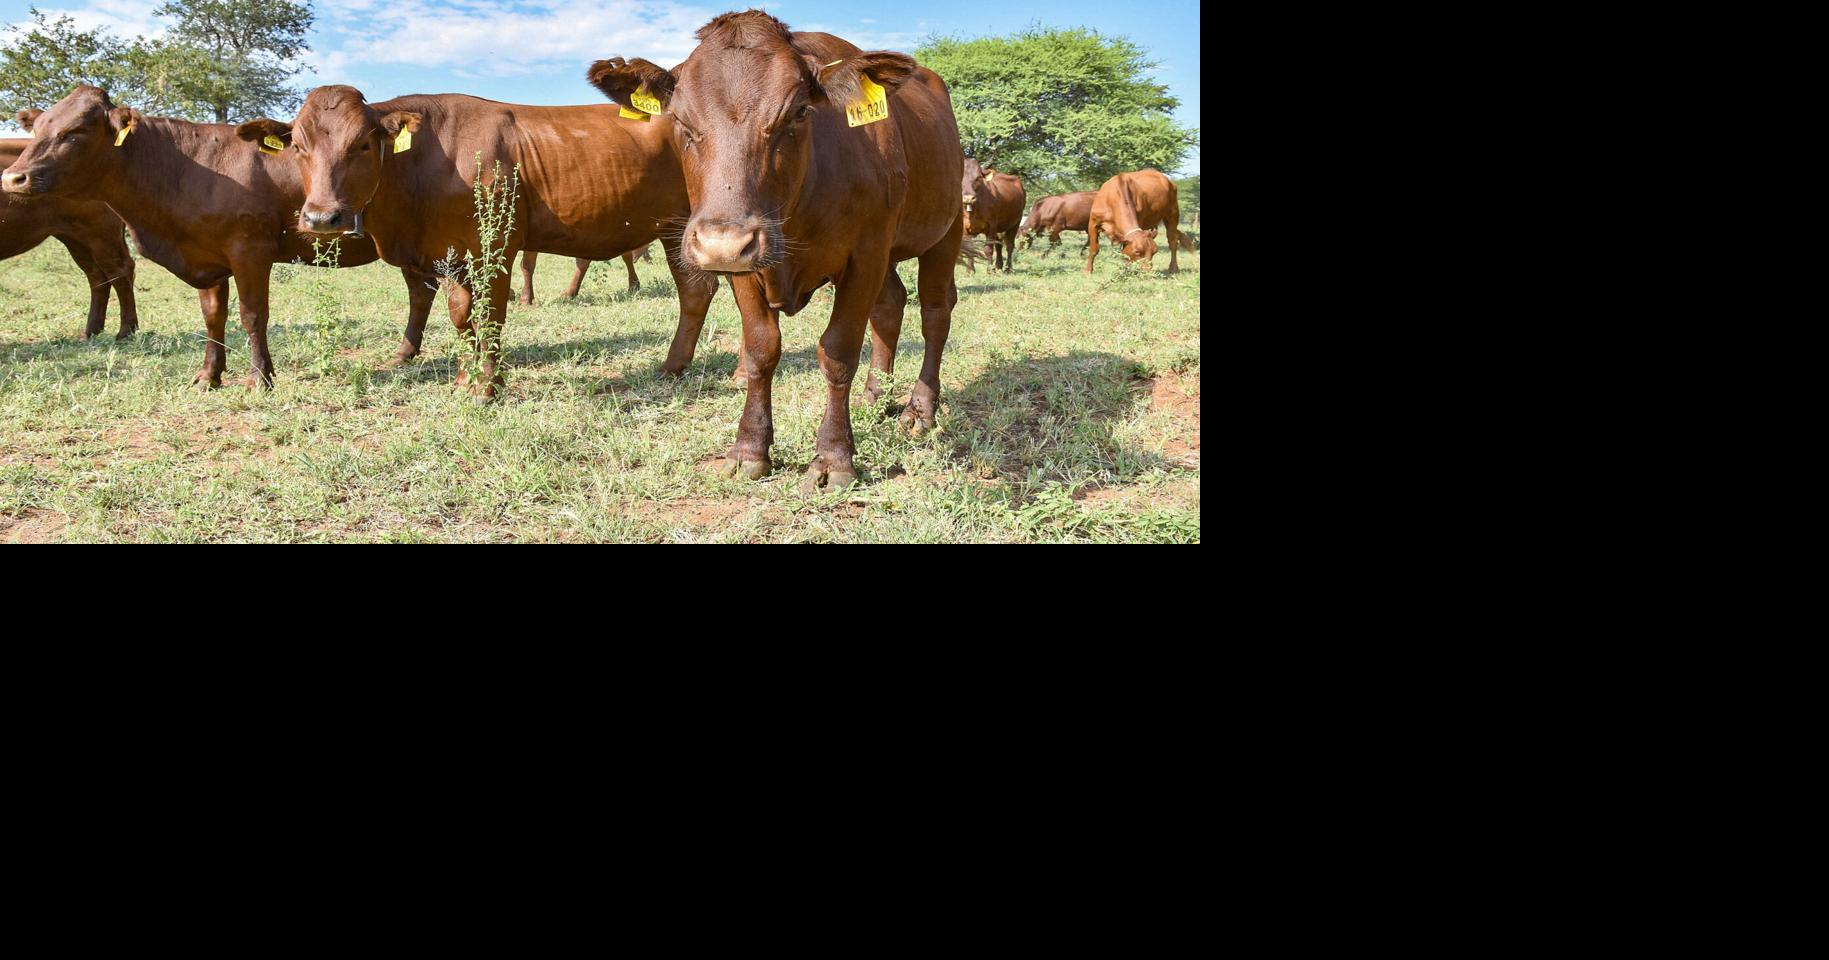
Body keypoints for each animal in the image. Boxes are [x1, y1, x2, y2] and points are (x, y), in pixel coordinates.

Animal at [3, 127, 138, 339]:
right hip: (76, 238)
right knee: (97, 276)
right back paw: (90, 331)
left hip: (101, 235)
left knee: (120, 272)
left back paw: (125, 331)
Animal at [241, 86, 753, 402]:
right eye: (299, 146)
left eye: (362, 144)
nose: (320, 217)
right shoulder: (448, 255)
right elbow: (460, 314)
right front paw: (466, 379)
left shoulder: (497, 246)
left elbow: (489, 314)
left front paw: (488, 388)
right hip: (676, 228)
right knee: (698, 291)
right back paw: (676, 367)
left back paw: (738, 372)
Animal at [589, 10, 966, 491]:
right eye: (681, 122)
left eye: (799, 112)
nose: (722, 242)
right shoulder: (748, 265)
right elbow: (760, 350)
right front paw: (749, 450)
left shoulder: (865, 252)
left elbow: (838, 351)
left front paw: (834, 458)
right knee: (890, 306)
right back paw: (874, 395)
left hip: (945, 229)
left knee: (935, 311)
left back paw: (920, 409)